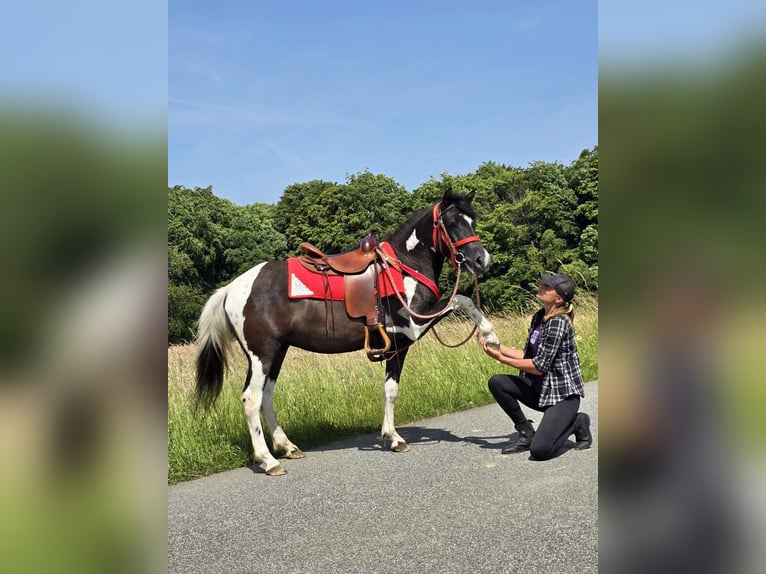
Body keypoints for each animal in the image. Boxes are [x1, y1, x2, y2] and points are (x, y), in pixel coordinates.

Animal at [194, 190, 498, 476]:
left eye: (472, 220)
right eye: (451, 222)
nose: (480, 260)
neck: (403, 267)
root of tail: (232, 289)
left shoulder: (397, 344)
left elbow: (390, 389)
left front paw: (391, 436)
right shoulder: (410, 328)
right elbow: (461, 300)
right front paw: (489, 335)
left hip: (276, 353)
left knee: (266, 396)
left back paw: (287, 447)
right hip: (263, 354)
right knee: (251, 399)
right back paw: (268, 461)